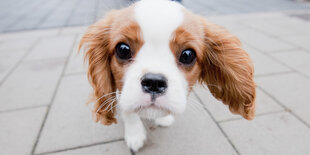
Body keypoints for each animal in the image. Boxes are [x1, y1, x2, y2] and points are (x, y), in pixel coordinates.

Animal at [78, 0, 256, 151]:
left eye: (187, 55)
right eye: (123, 49)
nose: (154, 82)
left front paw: (163, 118)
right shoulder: (121, 91)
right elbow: (128, 111)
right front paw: (135, 134)